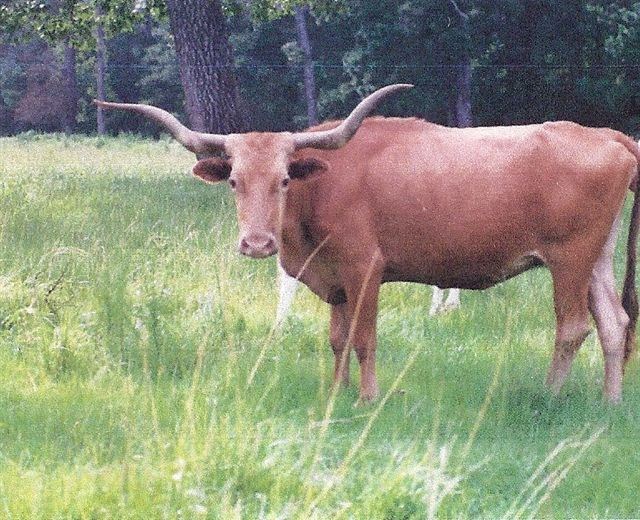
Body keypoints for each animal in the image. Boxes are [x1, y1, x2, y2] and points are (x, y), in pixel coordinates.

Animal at [95, 84, 640, 404]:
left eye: (284, 180)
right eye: (234, 181)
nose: (257, 243)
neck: (322, 187)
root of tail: (608, 135)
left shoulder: (364, 270)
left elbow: (363, 338)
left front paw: (366, 398)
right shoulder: (335, 278)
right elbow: (337, 339)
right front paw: (335, 395)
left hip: (568, 258)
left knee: (572, 327)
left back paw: (551, 396)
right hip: (596, 259)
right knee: (614, 324)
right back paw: (610, 402)